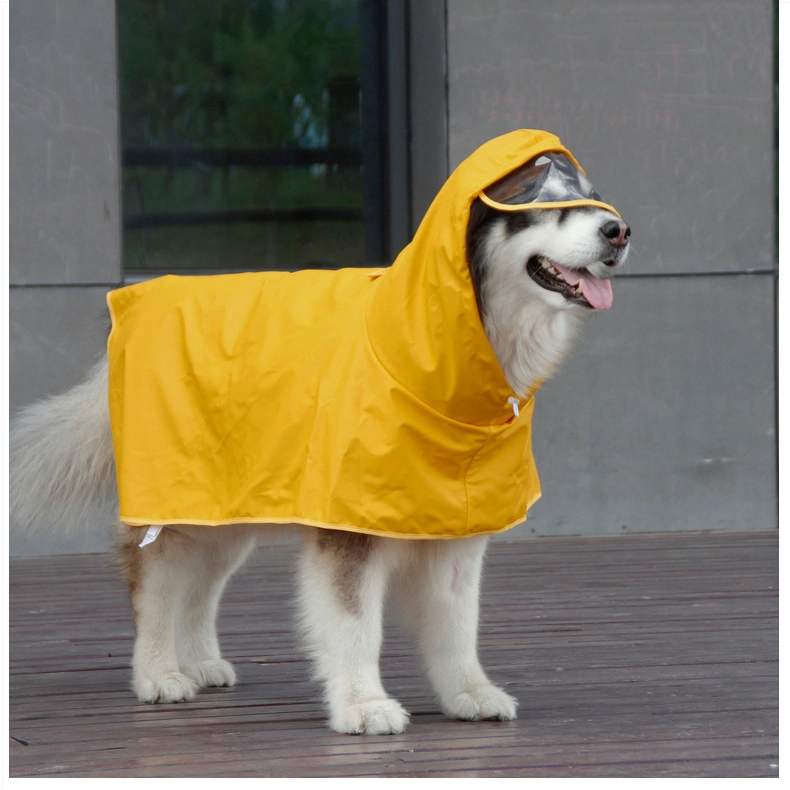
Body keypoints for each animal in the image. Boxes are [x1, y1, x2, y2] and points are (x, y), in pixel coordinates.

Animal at [9, 133, 632, 740]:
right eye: (548, 205)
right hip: (172, 500)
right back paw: (159, 671)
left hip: (226, 508)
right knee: (156, 585)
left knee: (201, 586)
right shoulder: (349, 526)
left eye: (595, 200)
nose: (619, 230)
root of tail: (137, 299)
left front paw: (468, 693)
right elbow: (356, 626)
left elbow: (458, 624)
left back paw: (200, 661)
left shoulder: (457, 522)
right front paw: (363, 704)